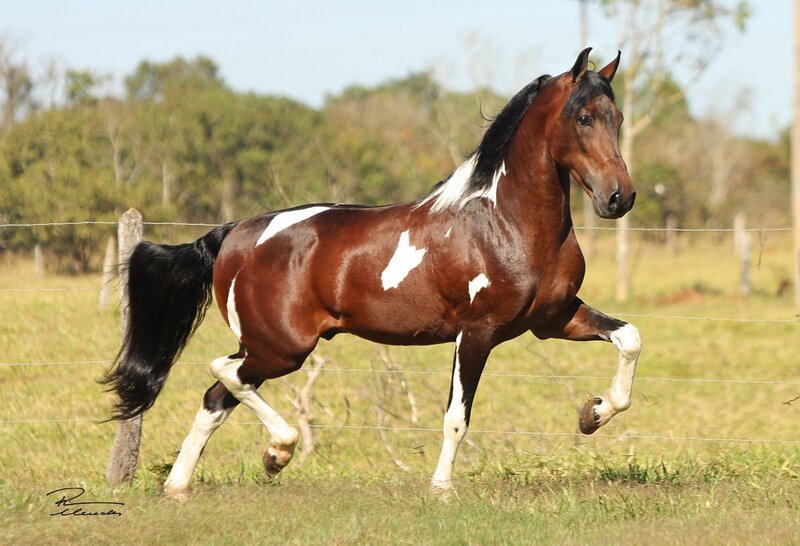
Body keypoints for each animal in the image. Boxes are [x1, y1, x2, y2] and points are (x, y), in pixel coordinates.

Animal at [102, 48, 640, 499]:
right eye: (583, 117)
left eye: (616, 118)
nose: (619, 198)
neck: (505, 223)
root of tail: (233, 234)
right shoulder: (477, 333)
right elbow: (456, 418)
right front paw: (441, 489)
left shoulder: (553, 320)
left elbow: (629, 338)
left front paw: (593, 413)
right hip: (282, 347)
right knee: (225, 373)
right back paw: (277, 452)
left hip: (268, 346)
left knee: (216, 395)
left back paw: (181, 486)